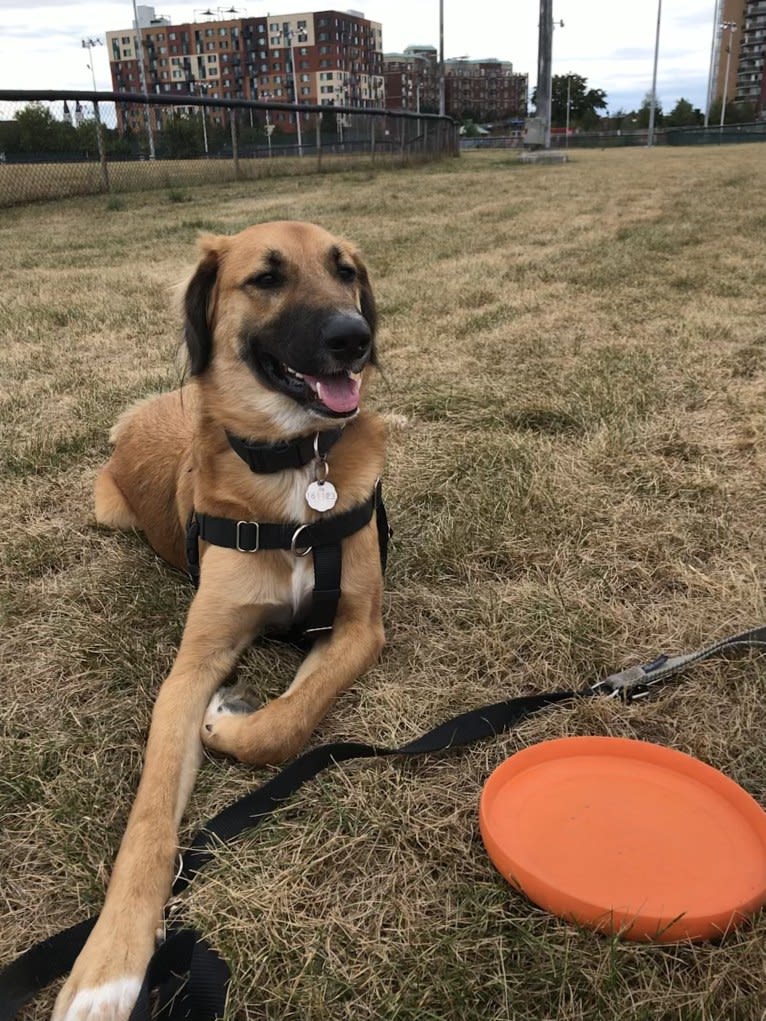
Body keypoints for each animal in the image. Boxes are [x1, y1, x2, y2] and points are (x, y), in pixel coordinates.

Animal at [53, 221, 386, 1021]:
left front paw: (232, 720)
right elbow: (149, 820)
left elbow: (287, 722)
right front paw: (107, 967)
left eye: (345, 271)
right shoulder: (190, 665)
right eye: (265, 278)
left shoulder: (361, 625)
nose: (355, 338)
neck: (296, 468)